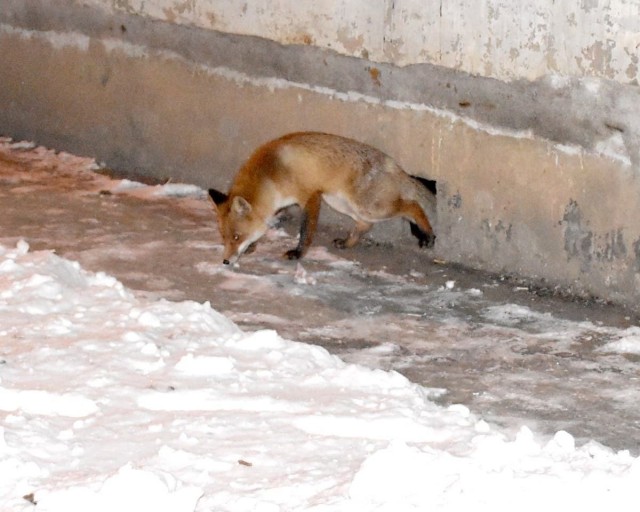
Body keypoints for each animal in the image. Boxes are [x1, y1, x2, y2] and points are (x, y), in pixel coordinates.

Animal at [208, 131, 436, 265]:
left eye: (236, 237)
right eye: (225, 237)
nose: (225, 261)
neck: (271, 173)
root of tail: (395, 166)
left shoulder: (310, 196)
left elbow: (305, 231)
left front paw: (298, 254)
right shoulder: (280, 203)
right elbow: (268, 222)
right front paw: (254, 245)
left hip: (369, 206)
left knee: (412, 206)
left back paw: (427, 233)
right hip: (343, 204)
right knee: (365, 225)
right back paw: (347, 242)